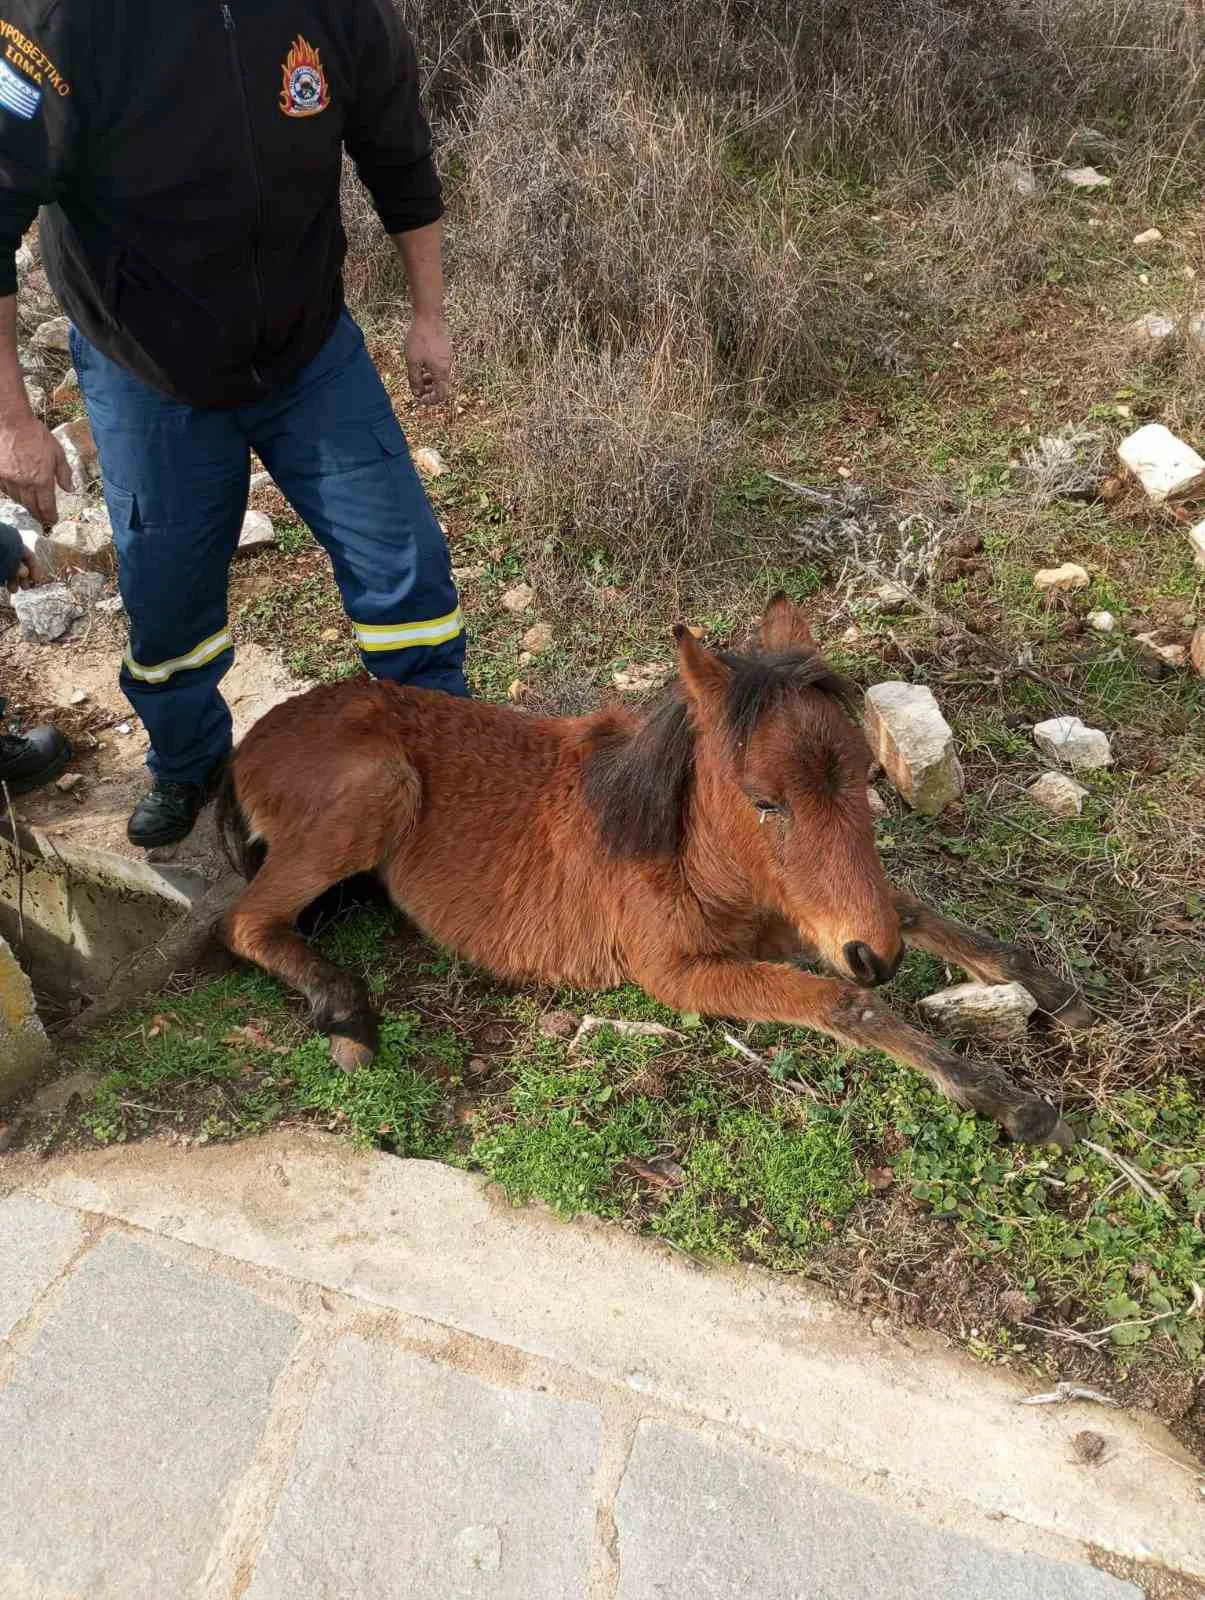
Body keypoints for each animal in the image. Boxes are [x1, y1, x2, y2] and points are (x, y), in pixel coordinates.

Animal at [219, 595, 1088, 1145]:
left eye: (866, 776)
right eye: (764, 800)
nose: (877, 957)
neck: (683, 851)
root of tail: (252, 737)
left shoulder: (799, 917)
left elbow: (911, 908)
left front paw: (1047, 987)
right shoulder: (679, 973)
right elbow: (846, 1006)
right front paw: (1001, 1098)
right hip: (377, 791)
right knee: (245, 923)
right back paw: (345, 1012)